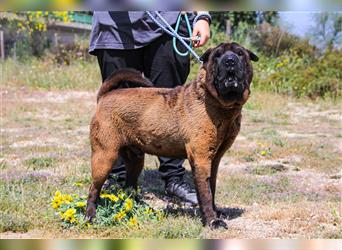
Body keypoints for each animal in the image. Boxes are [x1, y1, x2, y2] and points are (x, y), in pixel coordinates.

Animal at [86, 42, 260, 229]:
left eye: (240, 54)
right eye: (217, 56)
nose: (229, 61)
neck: (219, 105)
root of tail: (105, 96)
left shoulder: (214, 160)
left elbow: (211, 188)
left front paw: (215, 212)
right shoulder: (201, 159)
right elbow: (205, 193)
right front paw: (212, 220)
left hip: (135, 159)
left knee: (130, 187)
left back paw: (139, 208)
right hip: (105, 156)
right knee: (94, 189)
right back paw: (90, 216)